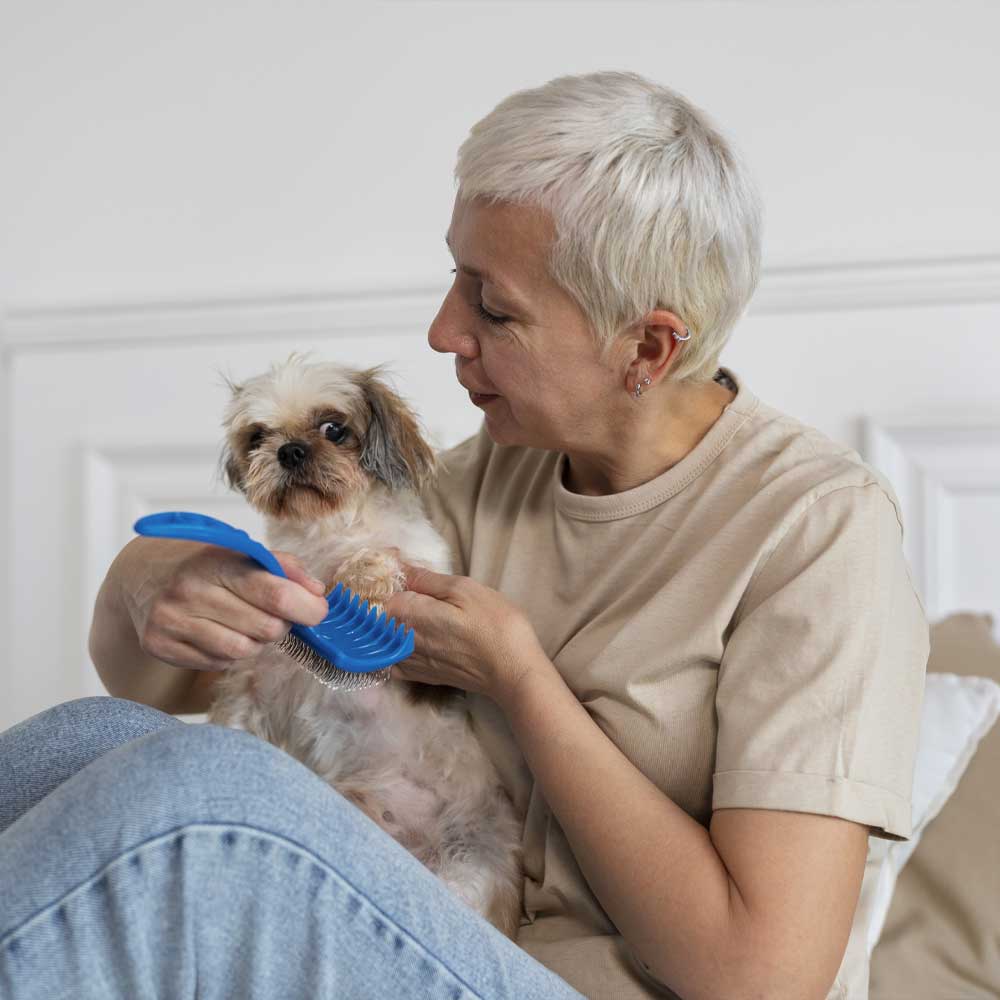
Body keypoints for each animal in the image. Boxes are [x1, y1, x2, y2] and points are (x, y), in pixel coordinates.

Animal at [208, 352, 528, 936]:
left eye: (334, 429)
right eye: (258, 435)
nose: (291, 450)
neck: (325, 533)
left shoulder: (419, 566)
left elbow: (381, 557)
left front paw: (359, 580)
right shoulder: (257, 677)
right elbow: (238, 715)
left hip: (471, 868)